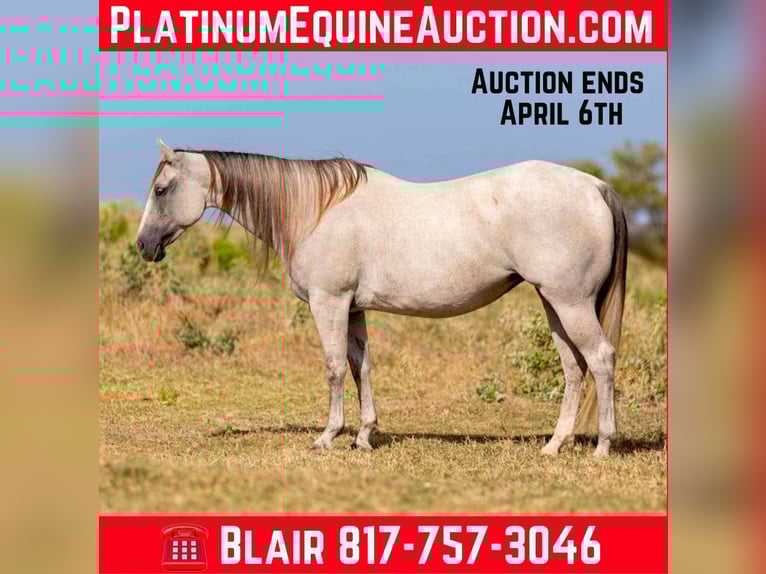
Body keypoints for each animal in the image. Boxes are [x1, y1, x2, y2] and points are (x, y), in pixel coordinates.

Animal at [136, 139, 627, 457]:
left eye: (161, 190)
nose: (143, 246)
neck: (315, 209)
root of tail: (595, 187)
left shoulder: (330, 302)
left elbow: (335, 369)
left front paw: (328, 437)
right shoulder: (353, 308)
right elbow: (362, 368)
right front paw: (363, 436)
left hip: (570, 302)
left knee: (600, 360)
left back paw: (602, 446)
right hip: (554, 303)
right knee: (574, 368)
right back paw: (555, 445)